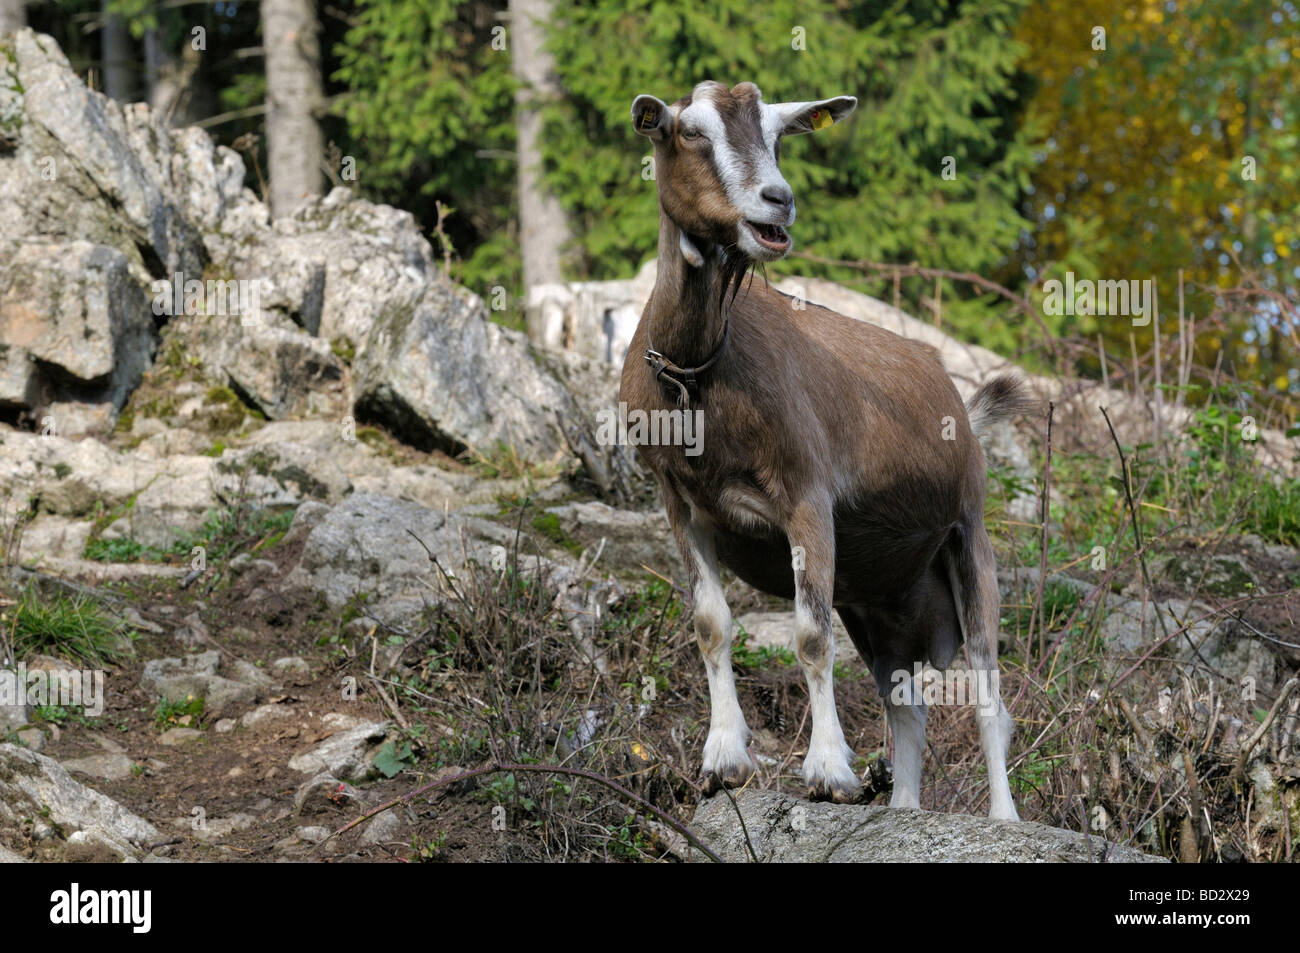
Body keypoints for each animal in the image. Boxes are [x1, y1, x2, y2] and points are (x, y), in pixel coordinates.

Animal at [618, 81, 1031, 820]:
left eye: (779, 135)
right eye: (689, 131)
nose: (777, 199)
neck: (700, 374)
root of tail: (962, 408)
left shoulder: (807, 496)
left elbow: (810, 637)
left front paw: (829, 773)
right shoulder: (681, 502)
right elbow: (711, 623)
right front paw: (723, 760)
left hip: (969, 534)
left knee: (989, 691)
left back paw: (1004, 820)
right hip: (880, 603)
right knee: (907, 709)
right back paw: (902, 810)